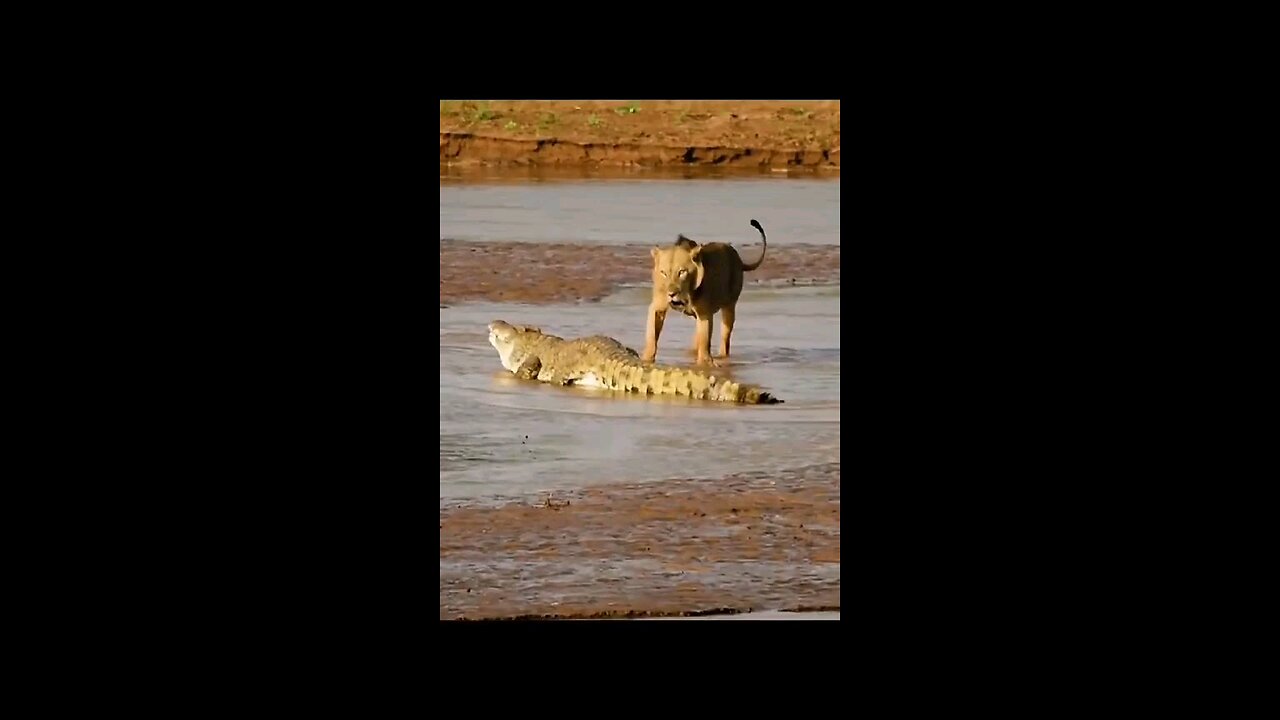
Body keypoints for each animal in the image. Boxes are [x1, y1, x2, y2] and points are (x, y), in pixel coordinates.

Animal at [645, 217, 762, 363]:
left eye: (682, 272)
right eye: (663, 273)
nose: (671, 294)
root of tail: (738, 258)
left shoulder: (704, 313)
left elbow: (704, 340)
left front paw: (705, 363)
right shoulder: (658, 306)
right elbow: (651, 337)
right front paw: (646, 359)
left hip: (729, 306)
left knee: (725, 338)